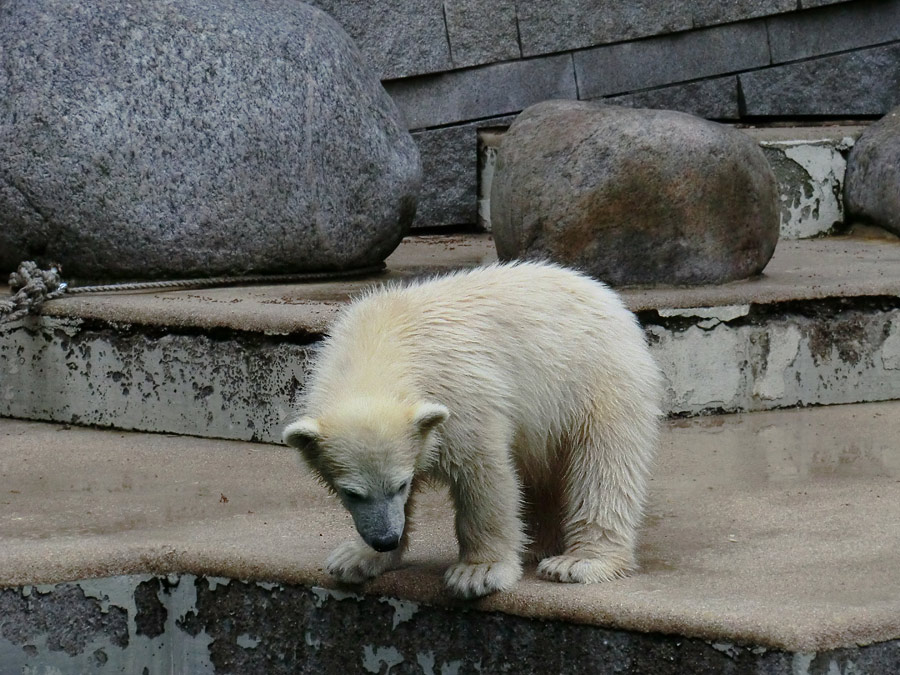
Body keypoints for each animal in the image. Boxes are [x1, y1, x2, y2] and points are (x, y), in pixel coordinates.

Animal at [284, 262, 664, 600]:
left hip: (596, 378)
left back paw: (578, 562)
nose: (385, 539)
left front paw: (478, 573)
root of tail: (609, 298)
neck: (379, 340)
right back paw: (535, 544)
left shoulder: (458, 393)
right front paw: (356, 559)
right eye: (350, 493)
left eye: (401, 484)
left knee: (604, 464)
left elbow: (481, 472)